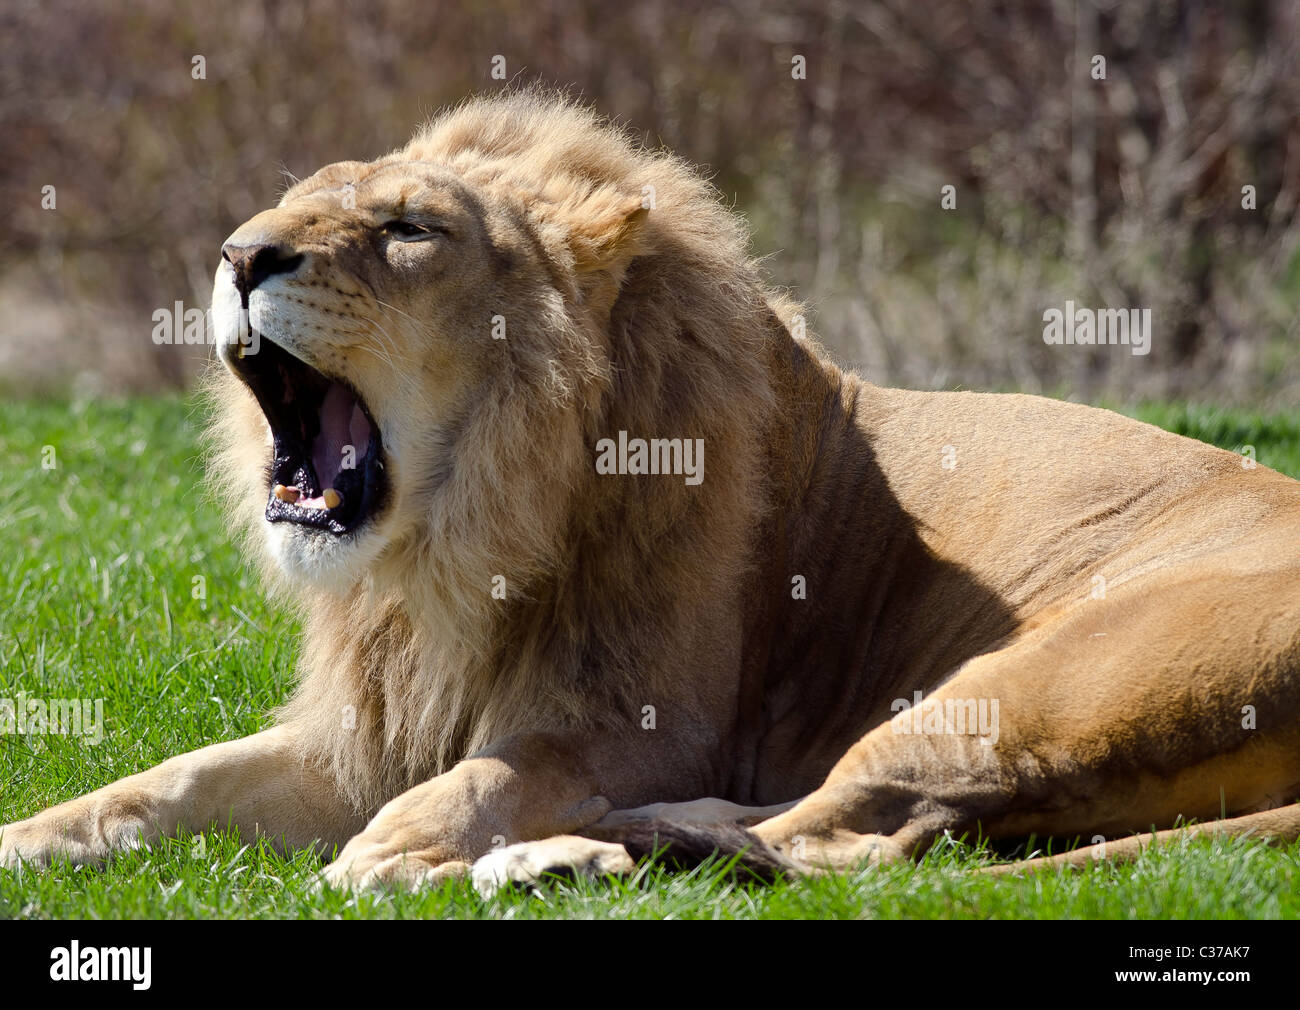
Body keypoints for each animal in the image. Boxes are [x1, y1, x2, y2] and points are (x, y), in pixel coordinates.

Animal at [4, 90, 1300, 894]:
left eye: (409, 229)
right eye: (290, 204)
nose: (239, 254)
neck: (452, 543)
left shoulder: (647, 724)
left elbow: (490, 776)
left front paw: (384, 858)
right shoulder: (371, 729)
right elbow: (162, 781)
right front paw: (25, 838)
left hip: (1020, 690)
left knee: (837, 844)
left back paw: (552, 860)